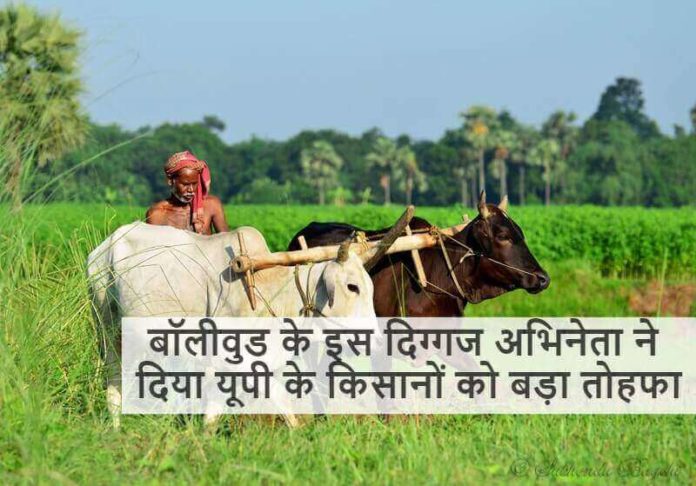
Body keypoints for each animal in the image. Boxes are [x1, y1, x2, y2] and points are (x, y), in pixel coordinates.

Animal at [87, 221, 378, 427]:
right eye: (352, 287)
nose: (375, 339)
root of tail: (104, 247)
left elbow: (284, 408)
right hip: (106, 324)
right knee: (113, 377)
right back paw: (115, 427)